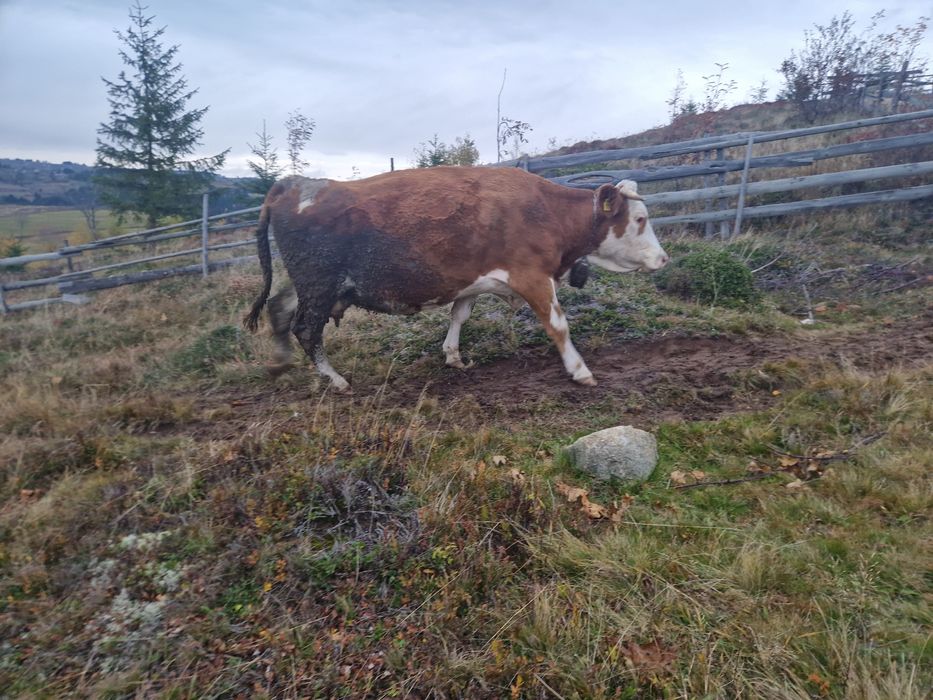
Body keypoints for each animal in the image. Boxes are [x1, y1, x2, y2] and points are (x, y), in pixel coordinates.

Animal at [244, 167, 668, 393]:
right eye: (640, 219)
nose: (663, 258)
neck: (545, 210)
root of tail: (295, 183)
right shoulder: (532, 276)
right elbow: (558, 325)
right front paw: (579, 370)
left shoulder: (472, 279)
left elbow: (459, 315)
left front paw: (453, 355)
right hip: (319, 285)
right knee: (305, 329)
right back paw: (335, 379)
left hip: (312, 284)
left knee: (279, 307)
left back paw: (280, 361)